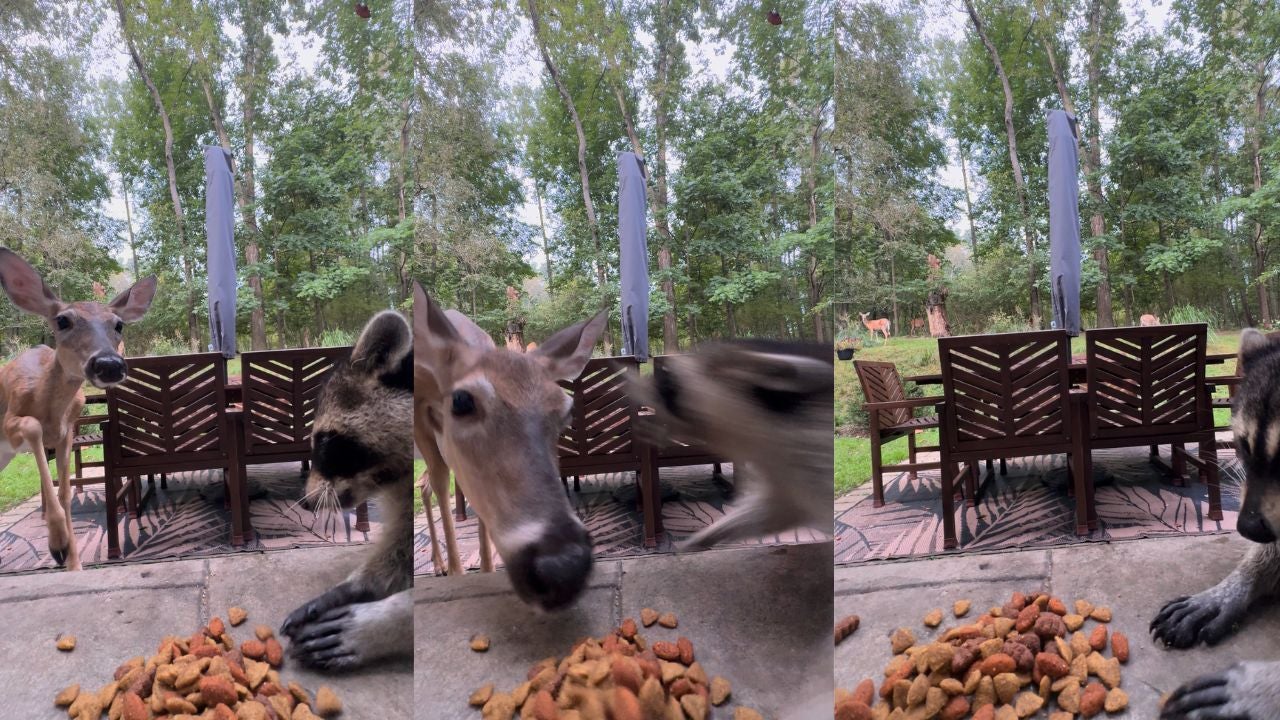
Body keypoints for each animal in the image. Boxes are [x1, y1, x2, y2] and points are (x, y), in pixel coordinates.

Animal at [0, 249, 156, 571]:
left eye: (118, 324)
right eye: (62, 320)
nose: (109, 364)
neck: (48, 408)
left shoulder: (68, 431)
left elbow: (65, 489)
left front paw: (72, 560)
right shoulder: (11, 421)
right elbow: (32, 427)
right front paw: (57, 543)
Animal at [415, 283, 607, 610]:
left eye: (567, 411)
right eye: (462, 400)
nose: (563, 566)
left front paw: (487, 569)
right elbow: (442, 484)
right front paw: (456, 573)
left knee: (430, 483)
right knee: (432, 482)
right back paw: (442, 566)